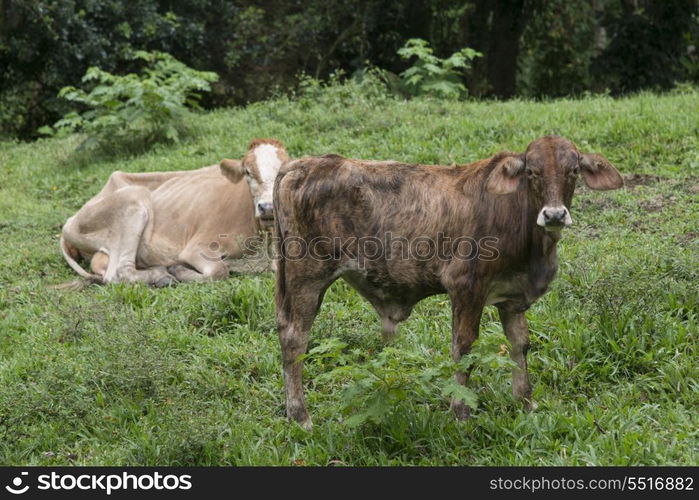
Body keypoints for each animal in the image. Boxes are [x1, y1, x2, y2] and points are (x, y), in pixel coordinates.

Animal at [60, 138, 288, 286]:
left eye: (283, 172)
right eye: (247, 172)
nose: (267, 207)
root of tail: (70, 220)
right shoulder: (198, 247)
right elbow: (219, 271)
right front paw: (181, 269)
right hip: (135, 198)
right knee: (118, 273)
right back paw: (161, 276)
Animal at [274, 135, 624, 428]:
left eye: (573, 170)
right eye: (531, 171)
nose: (554, 215)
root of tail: (303, 164)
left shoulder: (513, 297)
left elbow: (519, 345)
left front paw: (525, 403)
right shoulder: (466, 286)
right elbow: (464, 348)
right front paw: (461, 411)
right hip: (307, 275)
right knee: (294, 337)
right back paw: (301, 416)